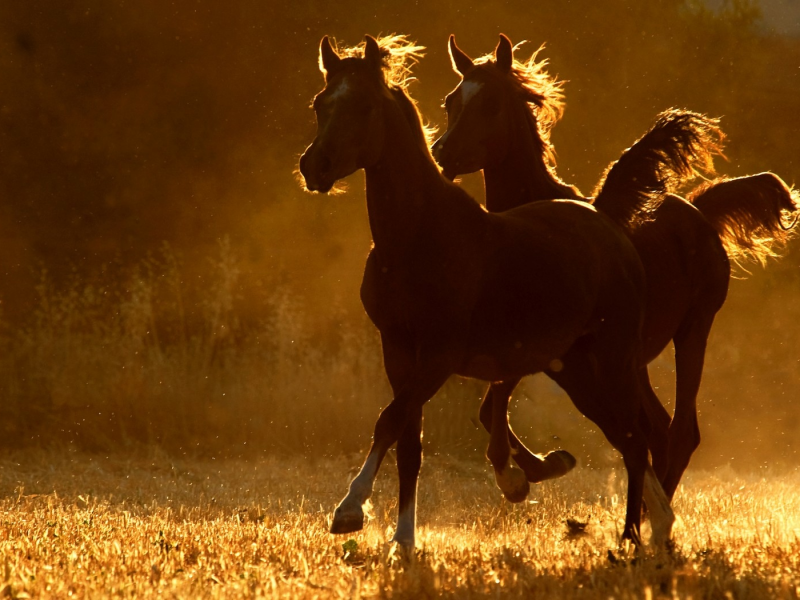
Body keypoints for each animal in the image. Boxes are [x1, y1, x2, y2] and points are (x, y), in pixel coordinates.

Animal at [296, 32, 680, 548]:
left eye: (364, 106)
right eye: (321, 103)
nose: (314, 166)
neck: (417, 238)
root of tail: (611, 228)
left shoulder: (440, 354)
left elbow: (389, 420)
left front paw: (349, 510)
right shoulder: (398, 349)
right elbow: (409, 443)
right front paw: (403, 540)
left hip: (613, 359)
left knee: (637, 437)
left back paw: (636, 538)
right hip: (576, 369)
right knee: (627, 437)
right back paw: (654, 528)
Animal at [434, 34, 796, 502]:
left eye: (492, 103)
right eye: (451, 101)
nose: (442, 153)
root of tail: (697, 209)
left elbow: (494, 400)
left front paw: (520, 476)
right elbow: (488, 406)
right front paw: (544, 466)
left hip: (692, 330)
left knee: (681, 433)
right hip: (633, 362)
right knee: (656, 431)